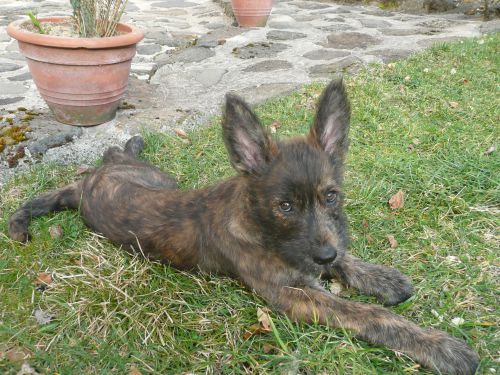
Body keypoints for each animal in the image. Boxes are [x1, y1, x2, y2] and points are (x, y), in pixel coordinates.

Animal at [7, 81, 476, 374]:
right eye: (284, 206)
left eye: (331, 196)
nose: (324, 256)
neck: (256, 223)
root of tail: (86, 188)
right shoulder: (294, 296)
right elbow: (365, 313)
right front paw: (438, 346)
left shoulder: (318, 249)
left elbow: (344, 259)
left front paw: (380, 276)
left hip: (157, 177)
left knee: (109, 153)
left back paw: (131, 142)